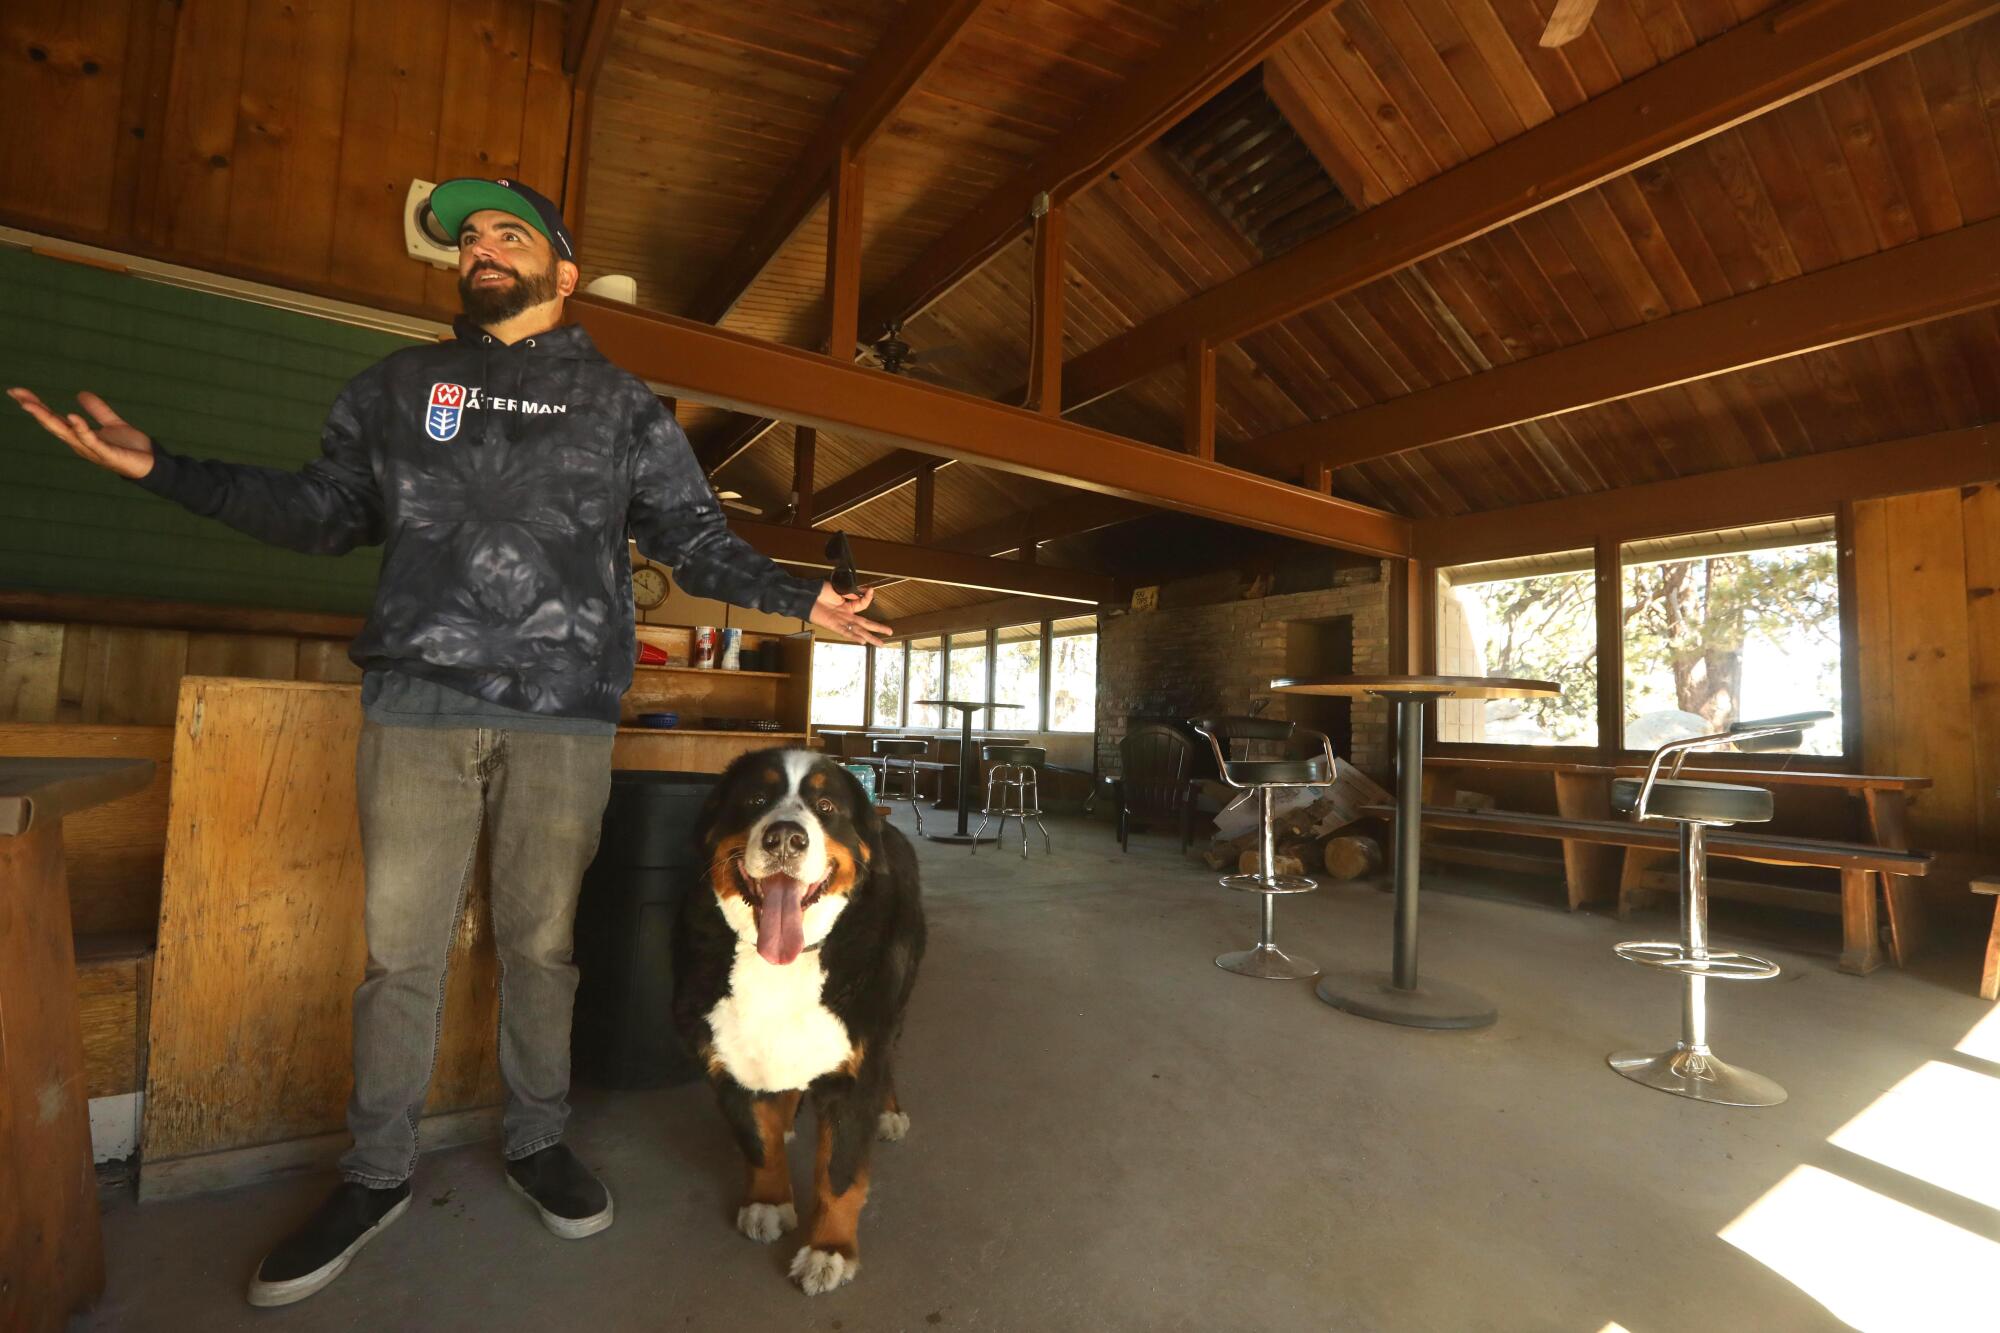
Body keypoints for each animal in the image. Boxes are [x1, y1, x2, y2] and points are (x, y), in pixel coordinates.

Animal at [672, 748, 920, 1288]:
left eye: (825, 806)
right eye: (756, 799)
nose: (785, 837)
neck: (782, 964)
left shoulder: (856, 1072)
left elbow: (839, 1175)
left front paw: (829, 1250)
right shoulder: (724, 1056)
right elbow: (757, 1142)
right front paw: (768, 1201)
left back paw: (890, 1112)